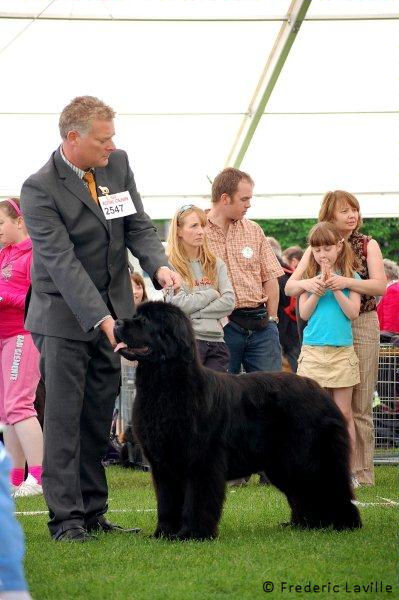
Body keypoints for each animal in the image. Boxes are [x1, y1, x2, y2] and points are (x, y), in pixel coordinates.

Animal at [115, 300, 362, 540]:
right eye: (136, 316)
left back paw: (345, 524)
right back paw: (306, 524)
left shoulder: (202, 460)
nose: (117, 323)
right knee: (303, 492)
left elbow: (197, 501)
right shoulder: (163, 464)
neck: (165, 386)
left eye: (145, 321)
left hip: (309, 456)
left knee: (330, 486)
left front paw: (192, 534)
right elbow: (167, 503)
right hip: (284, 463)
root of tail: (320, 391)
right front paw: (164, 533)